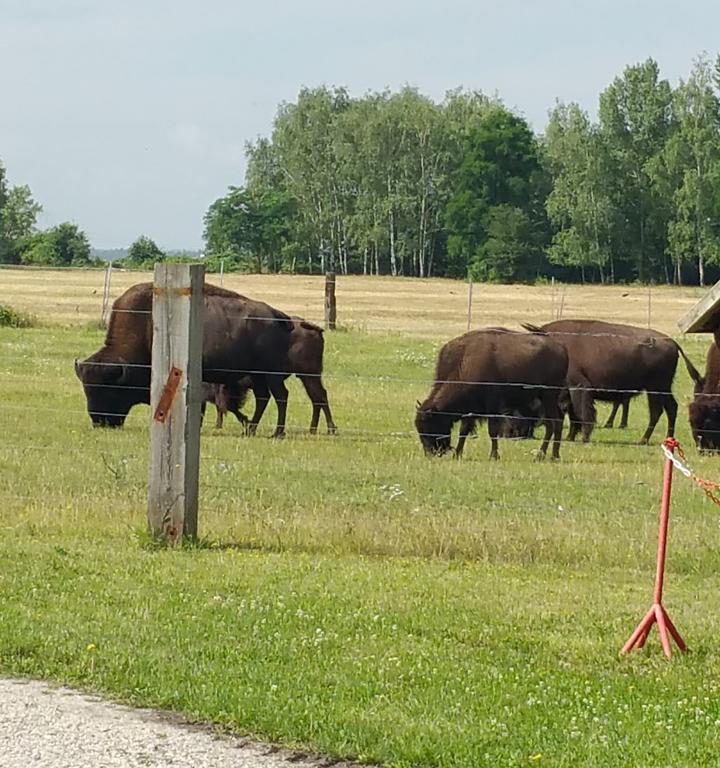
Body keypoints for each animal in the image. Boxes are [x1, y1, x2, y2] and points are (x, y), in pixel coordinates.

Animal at [75, 282, 293, 434]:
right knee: (263, 398)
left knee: (281, 396)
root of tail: (277, 315)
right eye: (87, 391)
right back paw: (251, 429)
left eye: (109, 390)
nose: (99, 421)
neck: (144, 328)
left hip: (271, 373)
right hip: (258, 375)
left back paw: (277, 433)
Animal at [415, 328, 568, 460]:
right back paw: (553, 455)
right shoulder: (471, 410)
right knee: (555, 423)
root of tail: (561, 348)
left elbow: (492, 431)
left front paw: (494, 455)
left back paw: (543, 456)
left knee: (553, 423)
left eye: (429, 424)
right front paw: (457, 454)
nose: (431, 452)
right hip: (546, 398)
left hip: (548, 395)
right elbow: (463, 431)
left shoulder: (492, 406)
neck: (466, 363)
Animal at [523, 320, 702, 444]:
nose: (527, 433)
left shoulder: (578, 387)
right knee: (670, 408)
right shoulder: (570, 391)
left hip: (656, 388)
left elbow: (583, 413)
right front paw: (570, 437)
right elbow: (574, 414)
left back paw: (644, 440)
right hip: (662, 388)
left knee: (657, 411)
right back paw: (666, 439)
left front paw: (584, 438)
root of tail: (672, 342)